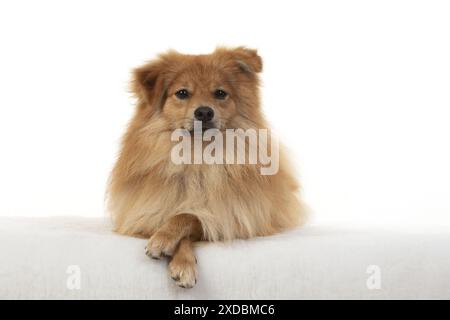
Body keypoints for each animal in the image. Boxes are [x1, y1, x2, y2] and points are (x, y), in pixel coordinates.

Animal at [107, 47, 306, 288]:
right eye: (182, 93)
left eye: (220, 93)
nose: (204, 112)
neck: (198, 158)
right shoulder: (144, 216)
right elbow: (174, 217)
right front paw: (173, 252)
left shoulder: (231, 218)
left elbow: (188, 216)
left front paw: (167, 243)